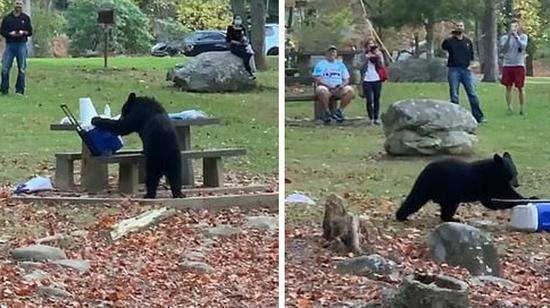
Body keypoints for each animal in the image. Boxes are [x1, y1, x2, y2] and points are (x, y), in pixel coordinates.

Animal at [396, 152, 528, 221]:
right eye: (510, 174)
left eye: (516, 173)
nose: (517, 184)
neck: (495, 172)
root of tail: (424, 170)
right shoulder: (488, 183)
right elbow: (495, 199)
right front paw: (525, 199)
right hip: (438, 186)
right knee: (416, 198)